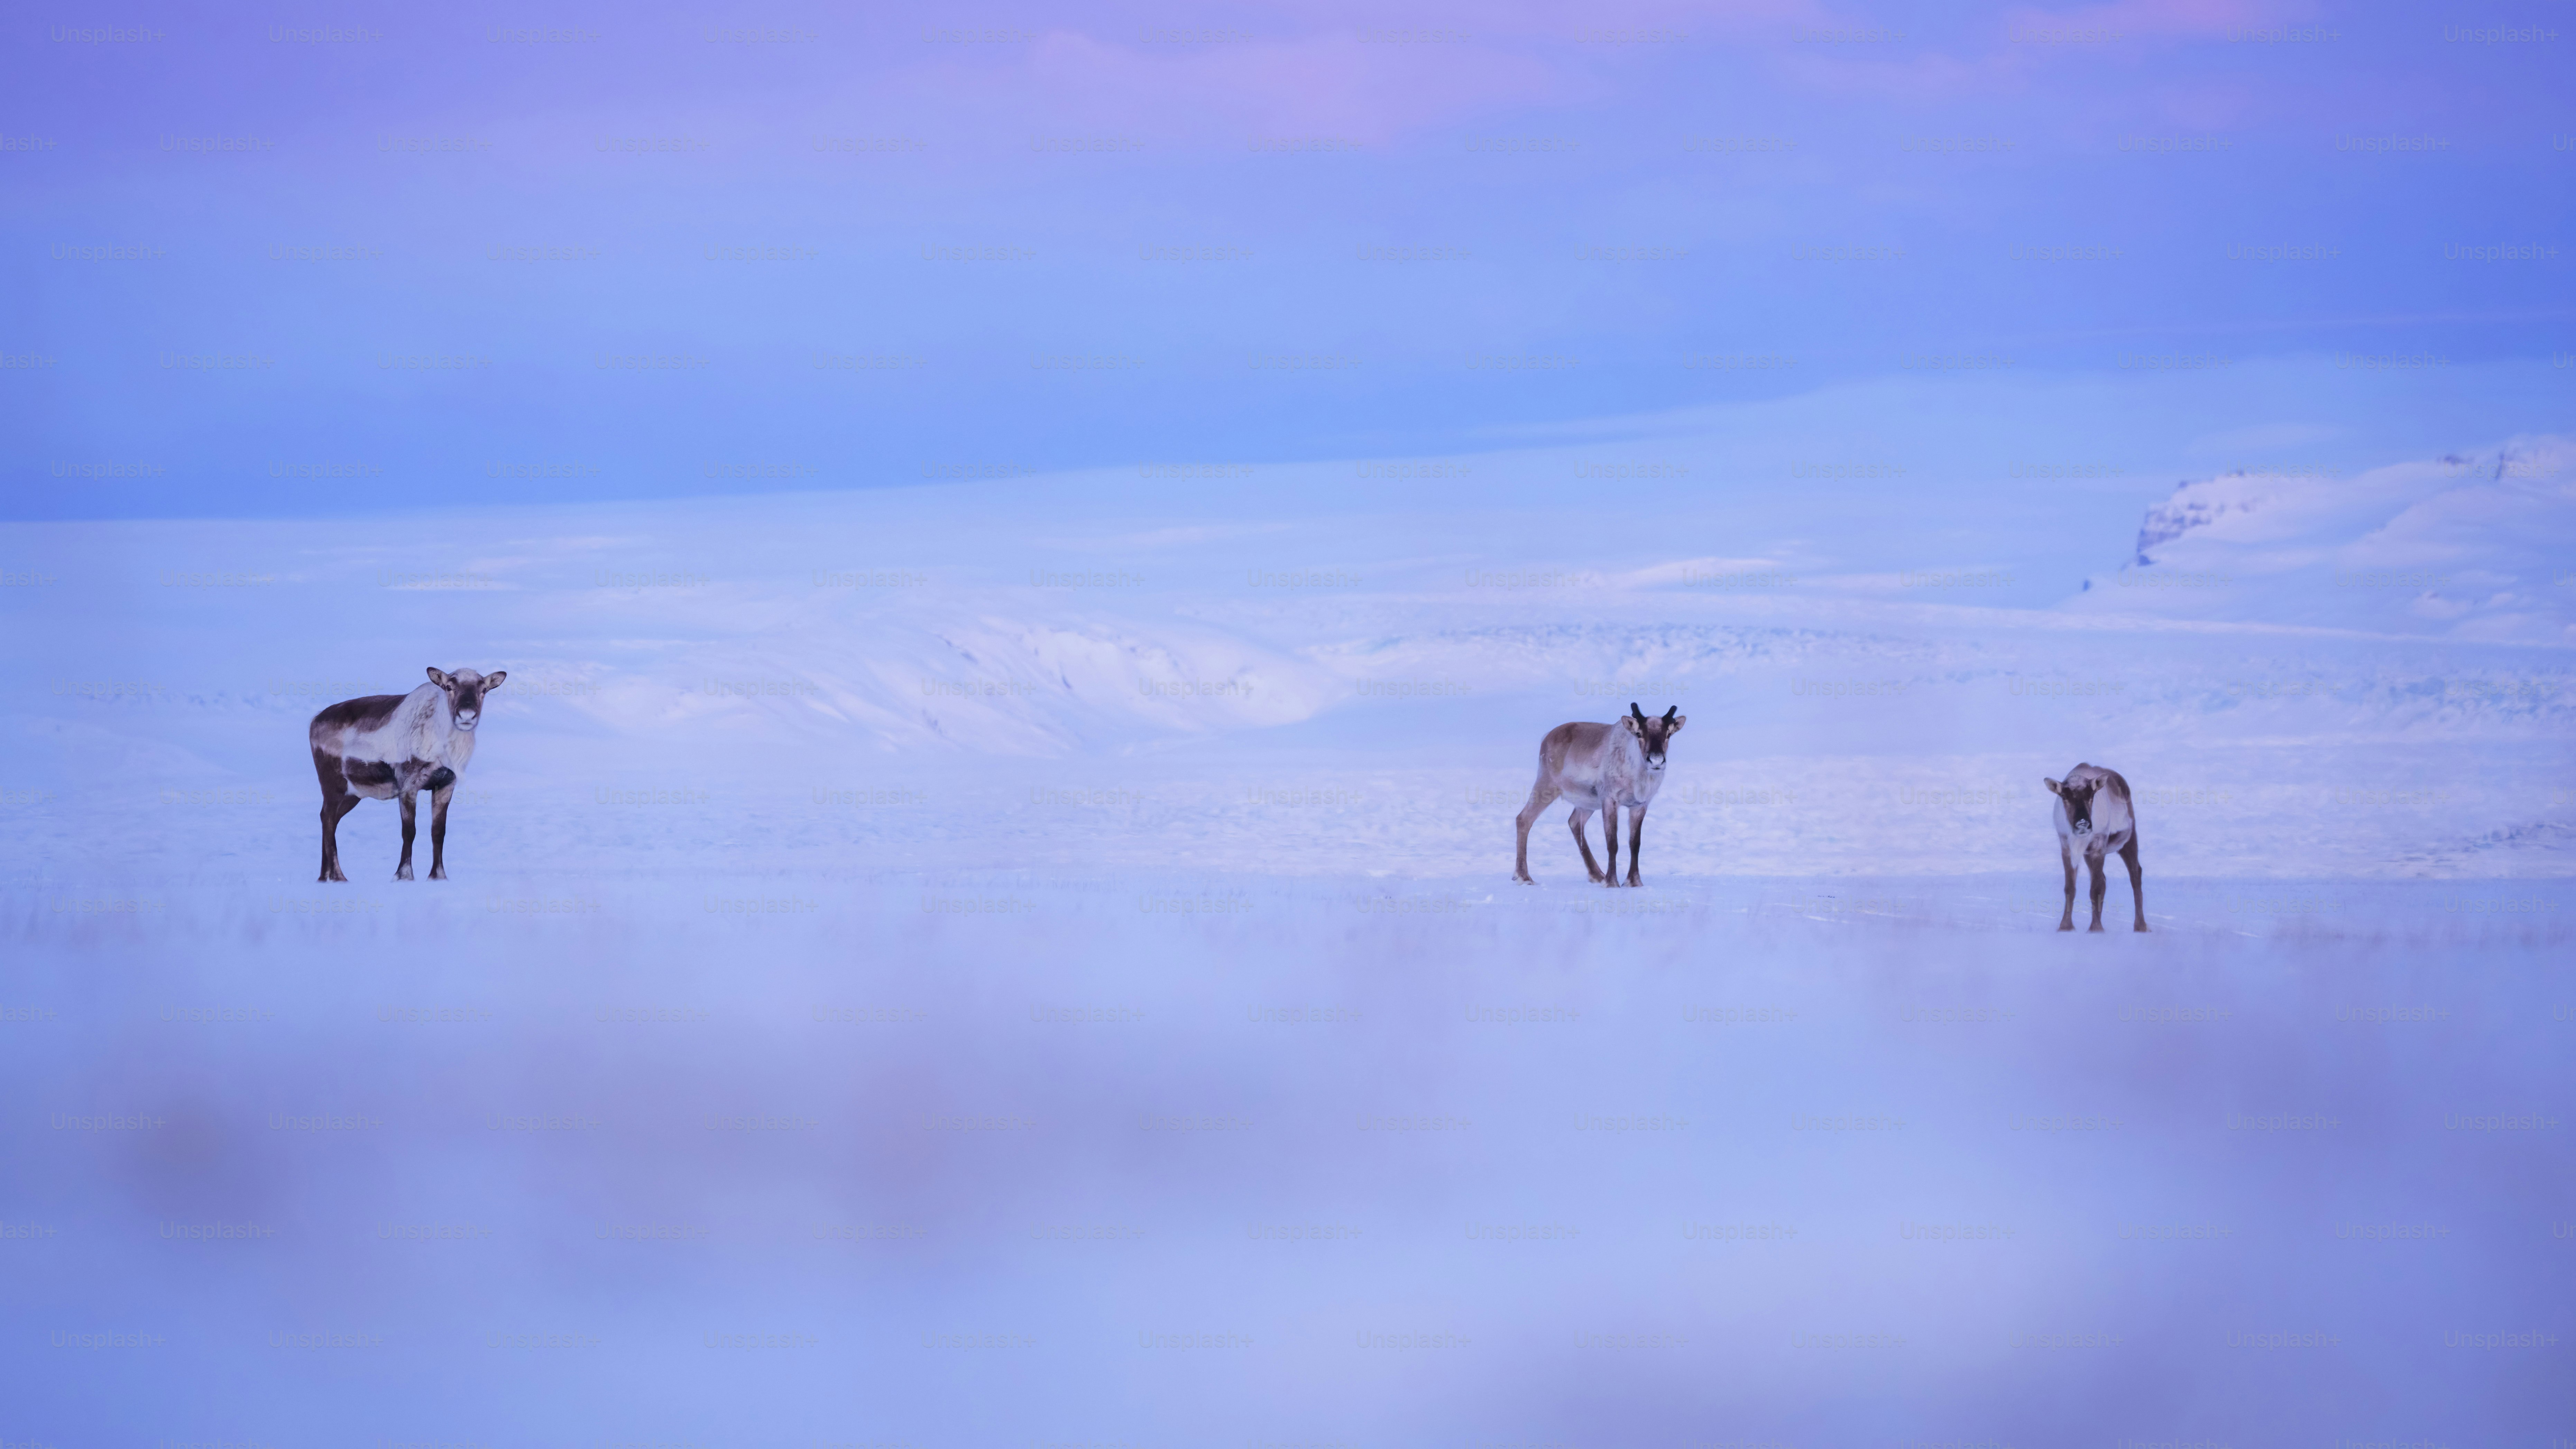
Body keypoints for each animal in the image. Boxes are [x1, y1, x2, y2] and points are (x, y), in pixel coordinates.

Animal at [309, 667, 504, 882]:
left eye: (484, 689)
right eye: (449, 687)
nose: (467, 716)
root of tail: (315, 721)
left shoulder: (446, 785)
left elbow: (438, 832)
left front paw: (438, 876)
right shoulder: (409, 786)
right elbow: (409, 832)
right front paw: (404, 875)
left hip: (354, 794)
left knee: (327, 818)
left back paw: (324, 876)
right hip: (333, 786)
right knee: (328, 821)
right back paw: (338, 877)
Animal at [1514, 703, 1685, 887]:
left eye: (1668, 734)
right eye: (1639, 734)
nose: (1656, 761)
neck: (1637, 777)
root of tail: (1547, 737)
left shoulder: (1640, 805)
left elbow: (1635, 844)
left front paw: (1634, 882)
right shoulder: (1610, 800)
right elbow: (1612, 843)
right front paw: (1612, 882)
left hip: (1587, 803)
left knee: (1574, 823)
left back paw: (1597, 874)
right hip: (1547, 786)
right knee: (1524, 819)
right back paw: (1524, 876)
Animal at [2045, 763, 2146, 932]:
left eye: (2091, 796)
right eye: (2064, 797)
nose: (2083, 823)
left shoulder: (2099, 846)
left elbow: (2096, 889)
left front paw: (2096, 929)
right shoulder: (2067, 848)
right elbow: (2070, 888)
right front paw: (2066, 927)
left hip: (2128, 839)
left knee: (2136, 874)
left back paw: (2141, 926)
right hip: (2088, 854)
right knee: (2104, 880)